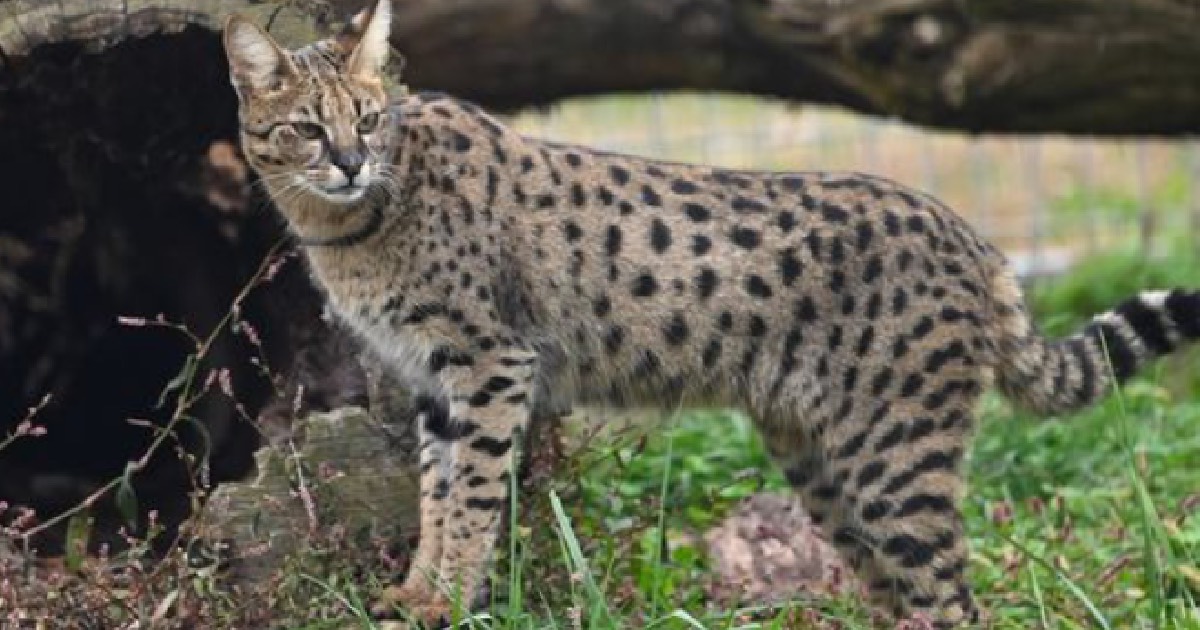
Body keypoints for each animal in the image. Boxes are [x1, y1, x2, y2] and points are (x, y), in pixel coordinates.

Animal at [223, 2, 1200, 624]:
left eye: (369, 118)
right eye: (306, 128)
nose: (350, 161)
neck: (350, 221)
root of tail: (978, 241)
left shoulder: (491, 361)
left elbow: (468, 496)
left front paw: (444, 601)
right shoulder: (435, 381)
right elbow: (435, 492)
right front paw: (419, 593)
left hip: (892, 458)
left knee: (954, 599)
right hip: (825, 463)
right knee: (904, 596)